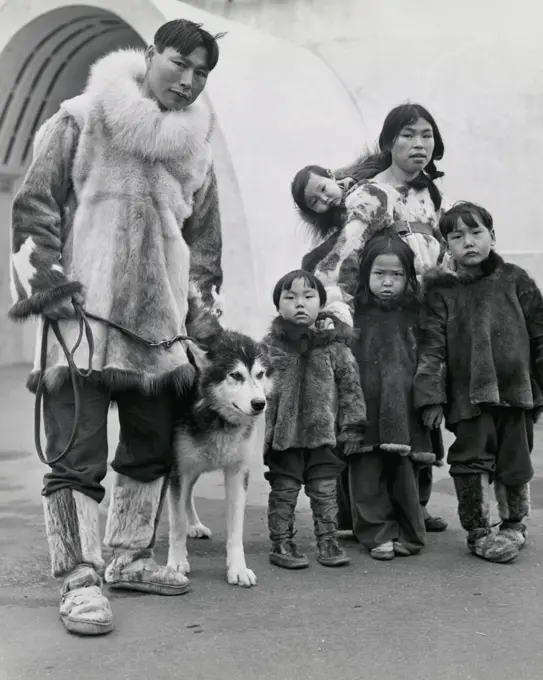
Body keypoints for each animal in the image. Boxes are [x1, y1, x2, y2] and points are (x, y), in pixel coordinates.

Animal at [168, 332, 274, 588]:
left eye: (260, 374)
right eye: (235, 375)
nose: (259, 404)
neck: (217, 416)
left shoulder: (237, 473)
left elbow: (235, 530)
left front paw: (238, 568)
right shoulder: (178, 469)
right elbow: (176, 523)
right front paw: (176, 562)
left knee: (188, 495)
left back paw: (195, 524)